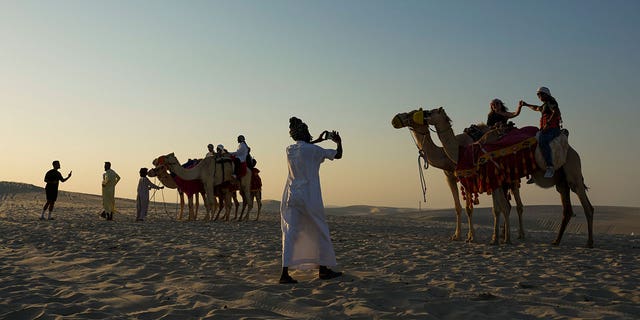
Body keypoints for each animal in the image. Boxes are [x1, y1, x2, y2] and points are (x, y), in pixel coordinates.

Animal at [390, 109, 524, 241]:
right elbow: (457, 207)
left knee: (517, 205)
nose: (396, 118)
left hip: (511, 175)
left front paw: (471, 236)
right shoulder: (449, 177)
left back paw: (519, 235)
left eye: (411, 113)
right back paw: (502, 234)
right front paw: (457, 235)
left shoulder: (468, 176)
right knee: (506, 205)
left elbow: (469, 208)